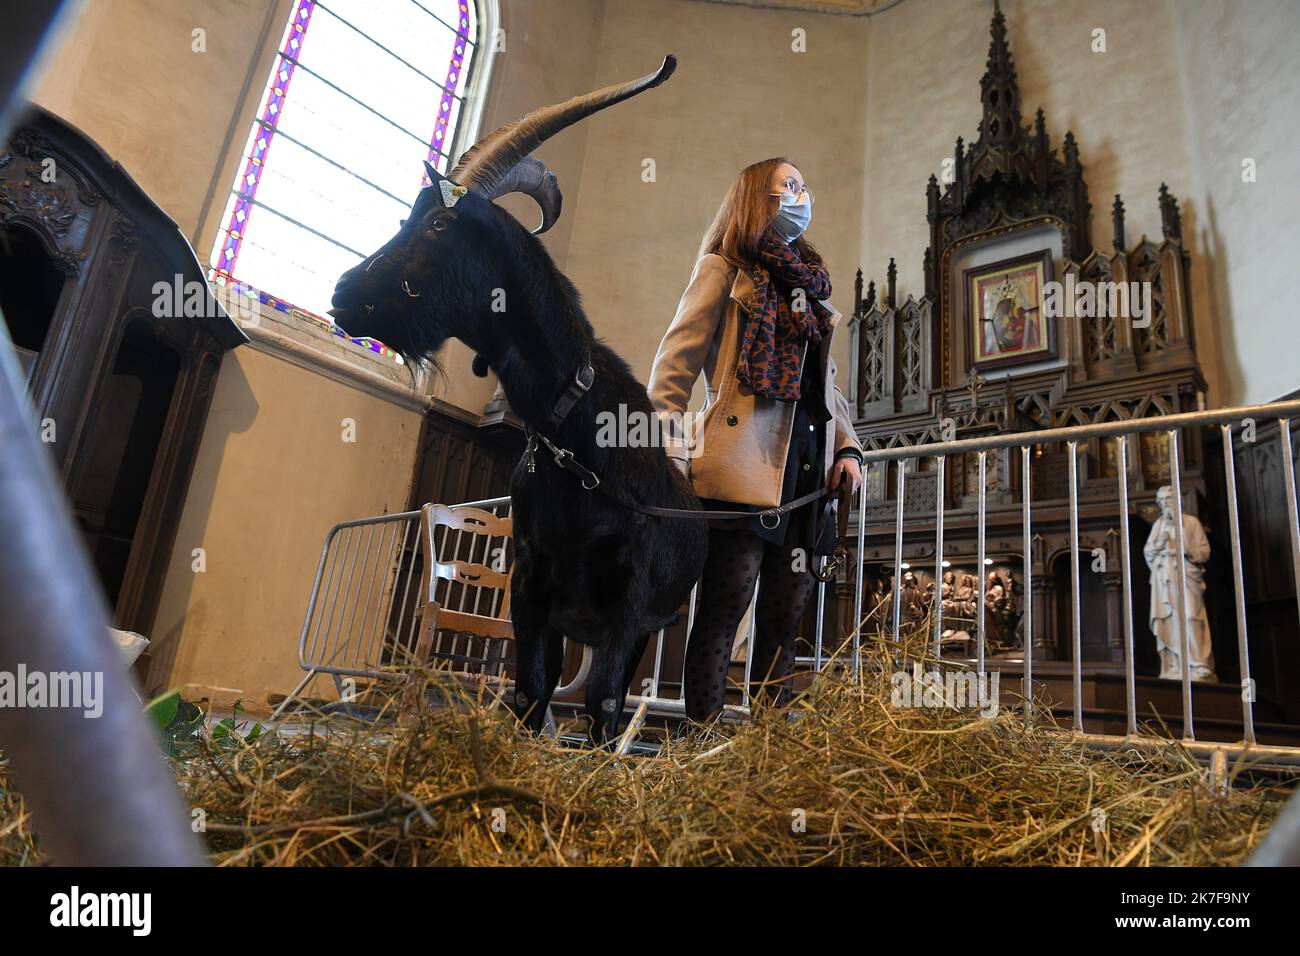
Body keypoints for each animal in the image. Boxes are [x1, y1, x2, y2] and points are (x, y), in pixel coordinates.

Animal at [330, 55, 707, 743]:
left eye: (439, 223)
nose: (343, 290)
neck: (574, 436)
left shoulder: (628, 595)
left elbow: (603, 702)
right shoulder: (532, 580)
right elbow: (530, 690)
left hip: (646, 627)